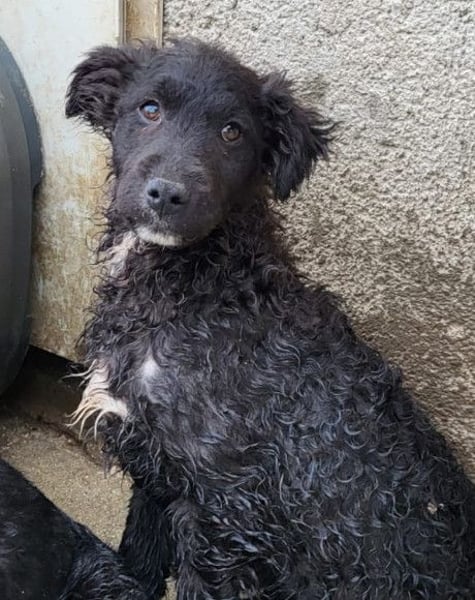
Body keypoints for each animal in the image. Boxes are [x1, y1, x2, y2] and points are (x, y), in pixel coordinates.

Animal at [66, 39, 475, 599]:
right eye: (149, 109)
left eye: (232, 132)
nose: (167, 193)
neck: (200, 286)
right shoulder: (155, 468)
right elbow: (137, 560)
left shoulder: (225, 516)